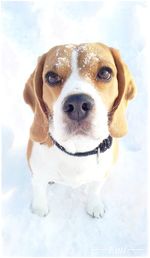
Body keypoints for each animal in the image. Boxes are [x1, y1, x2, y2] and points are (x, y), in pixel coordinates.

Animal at [23, 42, 136, 218]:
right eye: (51, 77)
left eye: (105, 73)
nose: (77, 104)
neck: (77, 151)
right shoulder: (37, 175)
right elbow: (39, 191)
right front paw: (39, 209)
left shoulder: (101, 174)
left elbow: (95, 189)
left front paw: (94, 205)